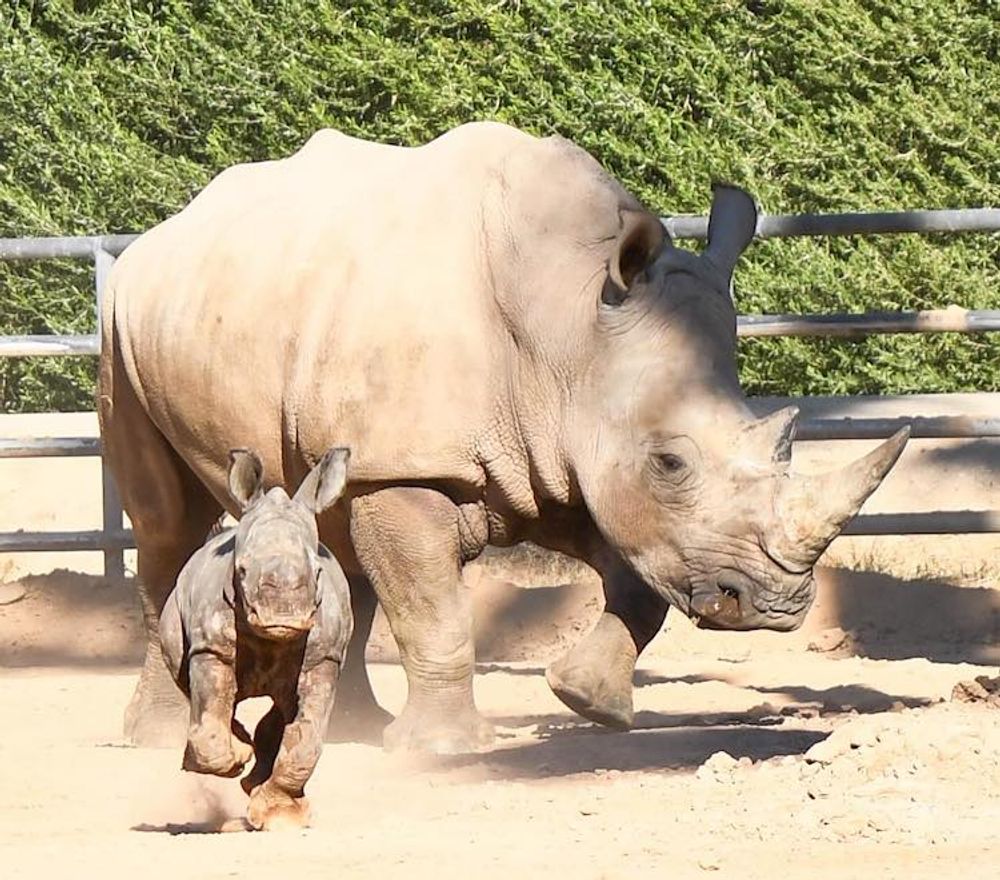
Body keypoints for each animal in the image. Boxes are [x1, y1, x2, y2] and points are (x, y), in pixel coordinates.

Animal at [99, 120, 908, 752]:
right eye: (672, 461)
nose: (776, 607)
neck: (571, 323)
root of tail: (165, 228)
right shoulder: (410, 466)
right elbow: (435, 613)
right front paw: (445, 750)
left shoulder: (569, 457)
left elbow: (638, 586)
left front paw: (589, 703)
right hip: (121, 326)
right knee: (168, 528)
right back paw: (158, 737)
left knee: (331, 533)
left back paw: (352, 727)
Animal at [162, 446, 354, 832]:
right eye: (242, 570)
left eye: (318, 572)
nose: (283, 617)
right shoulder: (211, 646)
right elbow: (210, 715)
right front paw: (237, 755)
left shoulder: (324, 657)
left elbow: (307, 740)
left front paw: (280, 816)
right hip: (176, 608)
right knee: (194, 687)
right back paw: (237, 750)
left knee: (284, 708)